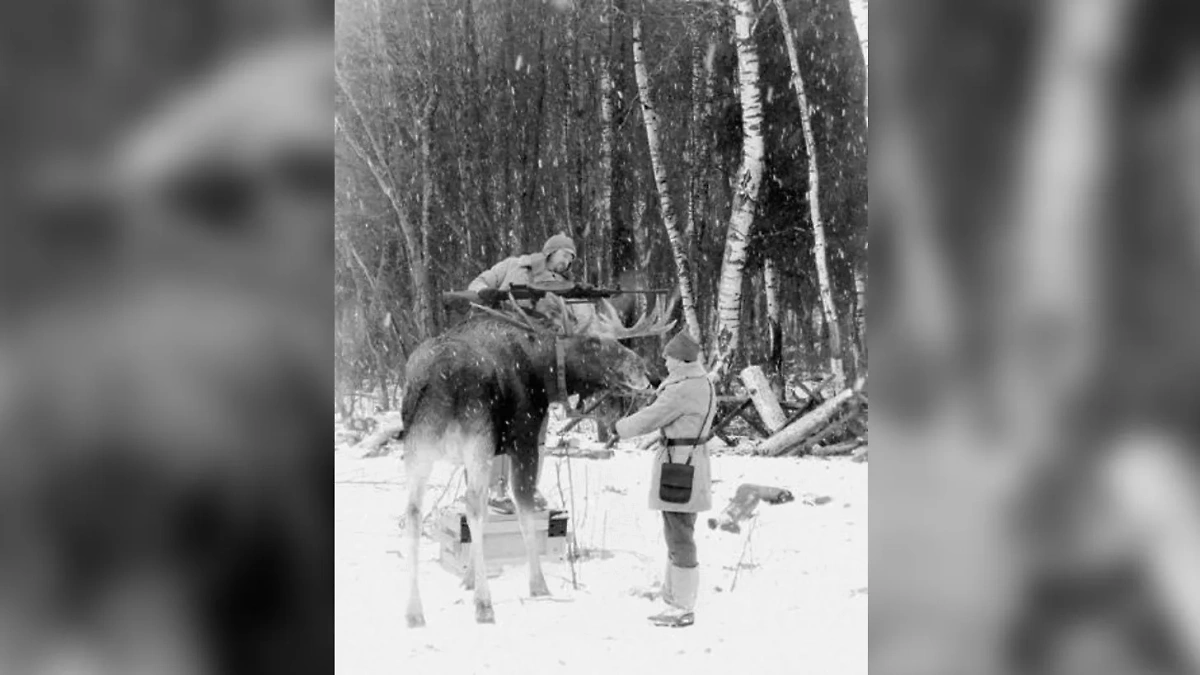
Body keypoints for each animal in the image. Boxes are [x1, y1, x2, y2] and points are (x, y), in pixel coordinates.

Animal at [398, 291, 672, 624]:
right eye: (593, 342)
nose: (650, 374)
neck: (543, 374)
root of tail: (438, 379)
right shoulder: (524, 439)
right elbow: (523, 509)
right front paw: (537, 584)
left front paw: (468, 579)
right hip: (476, 439)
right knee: (472, 506)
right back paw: (484, 605)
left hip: (418, 445)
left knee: (413, 512)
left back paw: (414, 611)